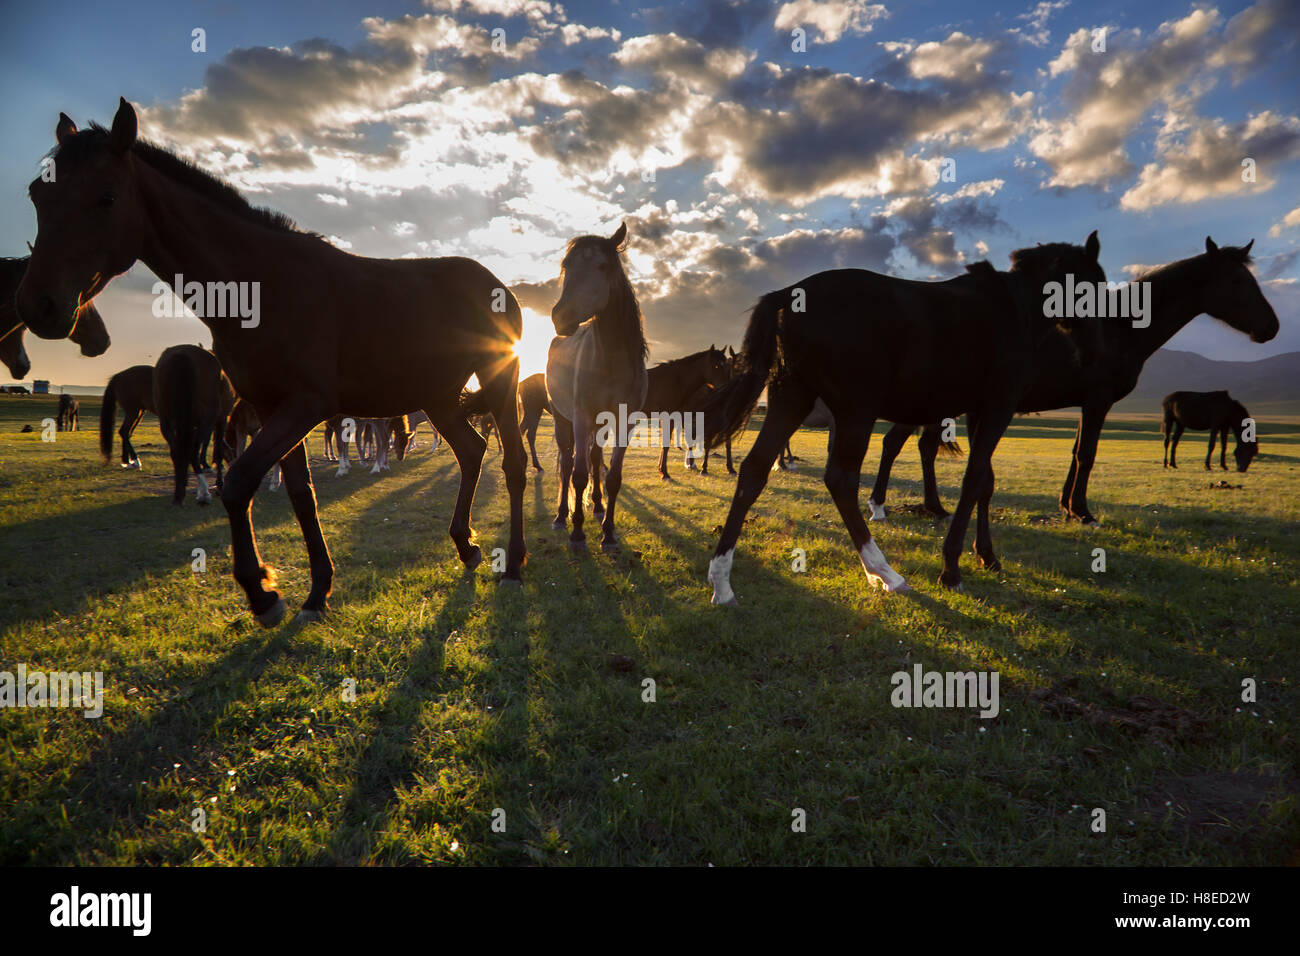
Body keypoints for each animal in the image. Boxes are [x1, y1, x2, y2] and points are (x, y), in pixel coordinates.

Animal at [19, 99, 528, 624]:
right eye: (38, 193)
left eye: (107, 197)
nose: (40, 307)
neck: (261, 285)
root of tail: (495, 283)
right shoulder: (271, 407)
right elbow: (302, 494)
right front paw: (317, 591)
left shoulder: (305, 405)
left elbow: (239, 482)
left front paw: (262, 592)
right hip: (439, 397)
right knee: (471, 451)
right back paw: (466, 546)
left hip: (499, 380)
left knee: (513, 464)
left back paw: (512, 565)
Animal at [547, 222, 648, 552]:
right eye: (566, 266)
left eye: (602, 266)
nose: (561, 317)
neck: (610, 361)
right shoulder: (580, 416)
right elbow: (578, 475)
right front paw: (577, 534)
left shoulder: (624, 421)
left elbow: (612, 476)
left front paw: (609, 533)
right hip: (561, 419)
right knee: (567, 464)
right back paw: (561, 516)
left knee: (594, 458)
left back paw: (599, 506)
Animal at [702, 232, 1107, 602]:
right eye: (1095, 287)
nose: (1093, 355)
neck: (1014, 308)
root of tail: (788, 295)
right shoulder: (998, 408)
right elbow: (974, 480)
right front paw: (951, 568)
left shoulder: (979, 412)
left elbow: (985, 482)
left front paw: (987, 555)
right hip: (855, 410)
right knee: (840, 480)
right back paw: (884, 571)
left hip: (792, 399)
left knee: (754, 470)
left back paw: (722, 579)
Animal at [868, 238, 1278, 523]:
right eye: (1237, 280)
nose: (1271, 327)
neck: (1120, 329)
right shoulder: (1098, 401)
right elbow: (1087, 454)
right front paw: (1082, 511)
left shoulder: (1085, 403)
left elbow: (1075, 451)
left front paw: (1066, 505)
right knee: (896, 443)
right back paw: (886, 504)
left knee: (919, 446)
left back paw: (933, 506)